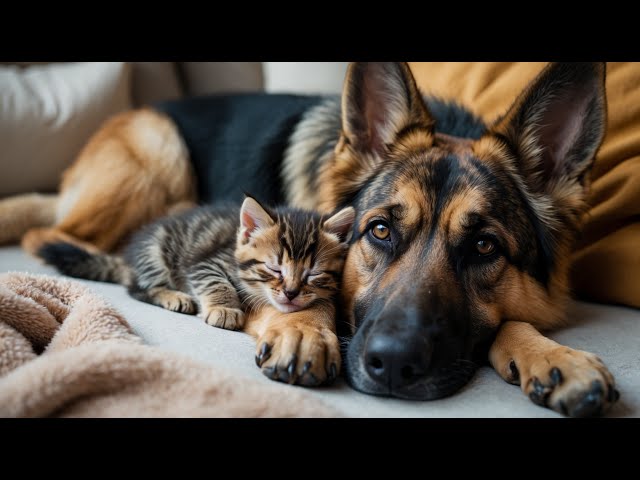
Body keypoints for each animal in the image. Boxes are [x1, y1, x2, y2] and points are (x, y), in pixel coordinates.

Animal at [1, 62, 620, 416]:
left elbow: (516, 320)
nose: (394, 364)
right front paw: (304, 329)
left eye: (486, 248)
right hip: (160, 153)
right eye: (380, 230)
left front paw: (553, 354)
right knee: (48, 230)